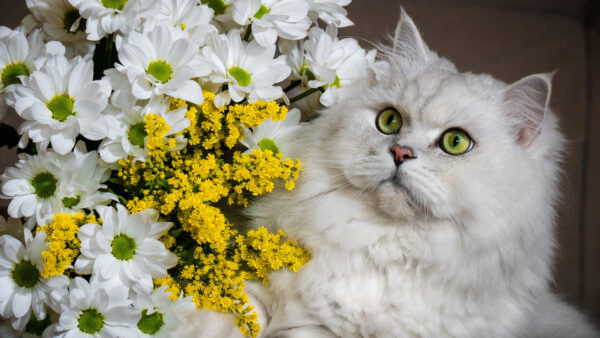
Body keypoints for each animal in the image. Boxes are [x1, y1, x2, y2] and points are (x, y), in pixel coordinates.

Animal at [195, 9, 596, 336]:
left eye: (455, 142)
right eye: (389, 121)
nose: (401, 153)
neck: (386, 247)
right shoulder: (264, 295)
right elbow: (230, 315)